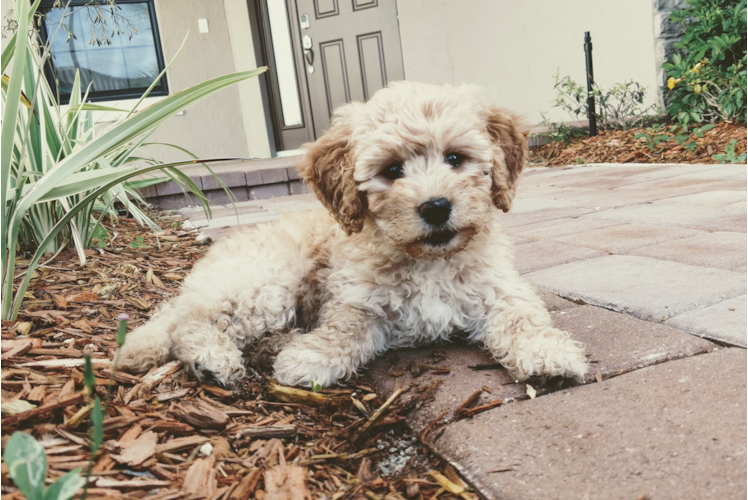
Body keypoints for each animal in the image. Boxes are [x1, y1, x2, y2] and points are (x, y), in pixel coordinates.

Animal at [118, 81, 592, 386]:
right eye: (392, 170)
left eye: (455, 158)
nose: (436, 207)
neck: (428, 261)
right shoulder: (357, 299)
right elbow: (345, 327)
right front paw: (312, 358)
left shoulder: (500, 289)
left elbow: (522, 317)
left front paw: (548, 353)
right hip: (267, 282)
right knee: (191, 326)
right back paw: (213, 360)